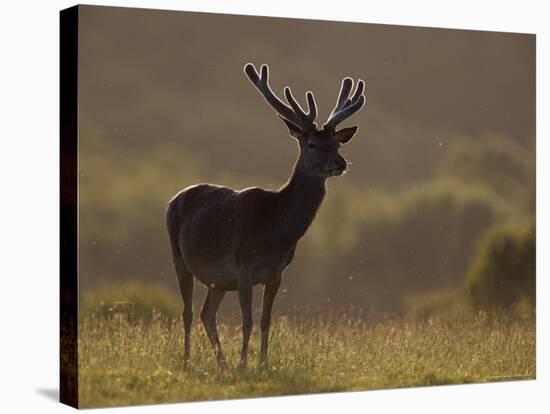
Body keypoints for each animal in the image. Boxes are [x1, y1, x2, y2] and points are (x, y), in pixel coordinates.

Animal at [167, 62, 366, 368]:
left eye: (338, 143)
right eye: (311, 144)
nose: (340, 163)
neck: (275, 232)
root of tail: (174, 198)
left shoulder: (277, 273)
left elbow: (265, 321)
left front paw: (261, 363)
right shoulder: (244, 268)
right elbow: (246, 322)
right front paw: (243, 365)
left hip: (218, 279)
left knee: (206, 313)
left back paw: (221, 364)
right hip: (180, 258)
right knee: (188, 312)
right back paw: (189, 362)